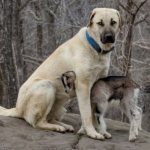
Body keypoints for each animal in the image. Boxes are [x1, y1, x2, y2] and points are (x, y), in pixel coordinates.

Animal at [0, 7, 121, 139]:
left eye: (113, 22)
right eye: (100, 23)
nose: (109, 37)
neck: (96, 49)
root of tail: (17, 108)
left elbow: (94, 113)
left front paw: (100, 131)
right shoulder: (83, 86)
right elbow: (87, 113)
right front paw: (92, 132)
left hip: (62, 103)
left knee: (50, 118)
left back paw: (64, 126)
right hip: (47, 86)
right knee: (38, 122)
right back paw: (57, 127)